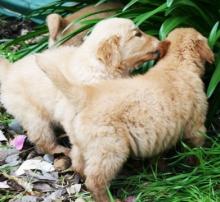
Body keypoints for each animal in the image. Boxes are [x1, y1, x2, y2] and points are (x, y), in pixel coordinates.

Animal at [0, 18, 163, 155]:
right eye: (137, 35)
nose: (160, 41)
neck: (100, 67)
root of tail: (9, 70)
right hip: (34, 116)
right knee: (42, 139)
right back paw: (59, 149)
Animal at [37, 27, 214, 201]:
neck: (178, 63)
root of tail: (87, 95)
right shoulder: (196, 126)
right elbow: (196, 149)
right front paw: (200, 165)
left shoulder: (161, 135)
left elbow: (159, 156)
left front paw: (162, 169)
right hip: (110, 150)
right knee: (95, 180)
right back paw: (109, 198)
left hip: (83, 144)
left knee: (78, 164)